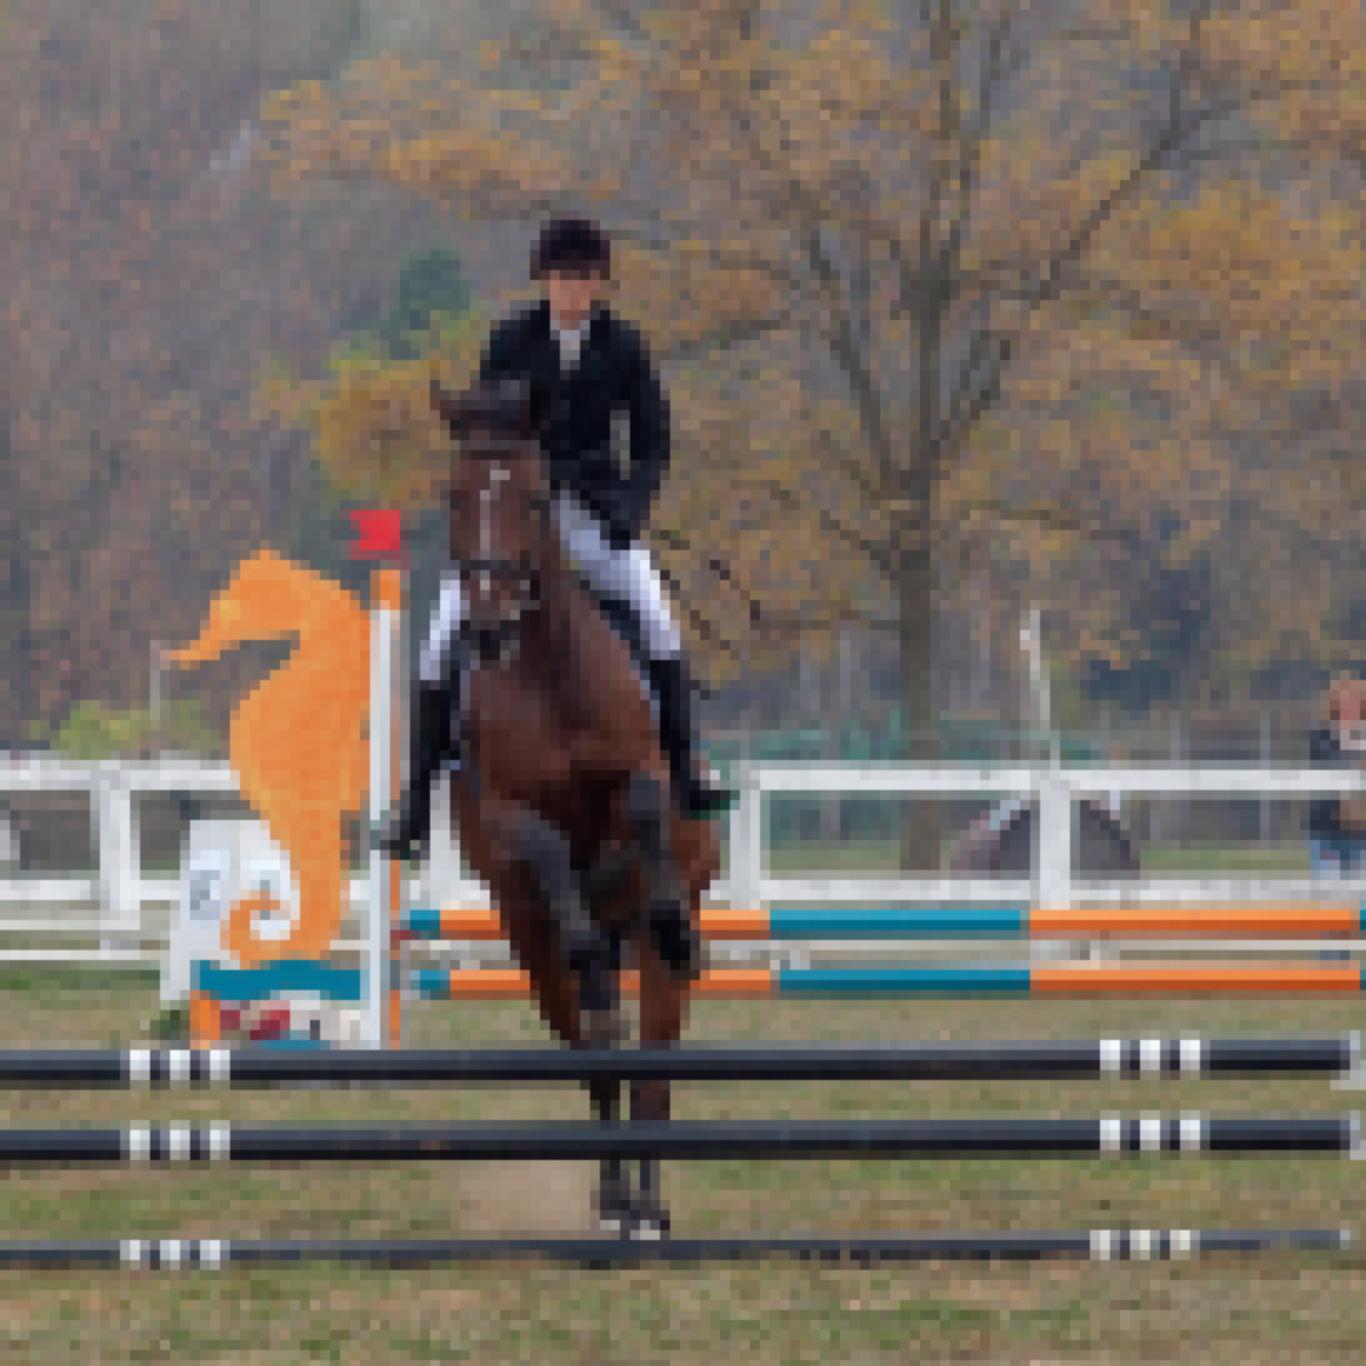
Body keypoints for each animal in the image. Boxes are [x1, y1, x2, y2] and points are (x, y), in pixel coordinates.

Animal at [429, 377, 720, 1237]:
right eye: (454, 495)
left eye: (533, 497)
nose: (488, 626)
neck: (550, 670)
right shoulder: (505, 813)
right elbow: (546, 844)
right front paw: (585, 925)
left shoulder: (643, 771)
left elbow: (649, 807)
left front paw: (664, 910)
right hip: (535, 955)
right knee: (597, 1059)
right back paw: (615, 1203)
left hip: (654, 970)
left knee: (650, 1068)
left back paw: (648, 1210)